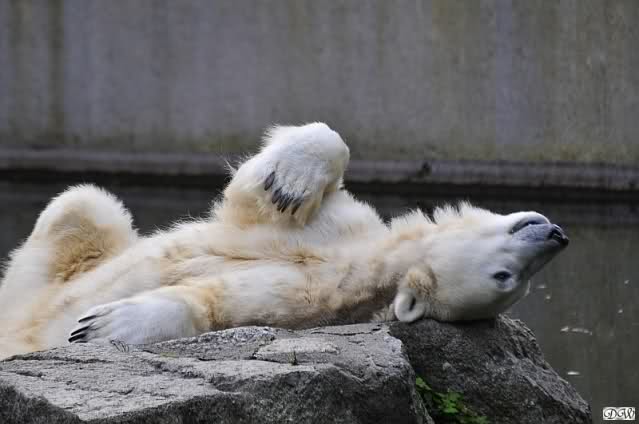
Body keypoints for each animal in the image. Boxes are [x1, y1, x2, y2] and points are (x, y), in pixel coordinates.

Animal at [0, 122, 568, 359]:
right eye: (506, 276)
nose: (557, 234)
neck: (365, 262)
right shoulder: (338, 226)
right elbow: (252, 194)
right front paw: (291, 180)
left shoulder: (306, 302)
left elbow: (221, 302)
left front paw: (104, 326)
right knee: (83, 204)